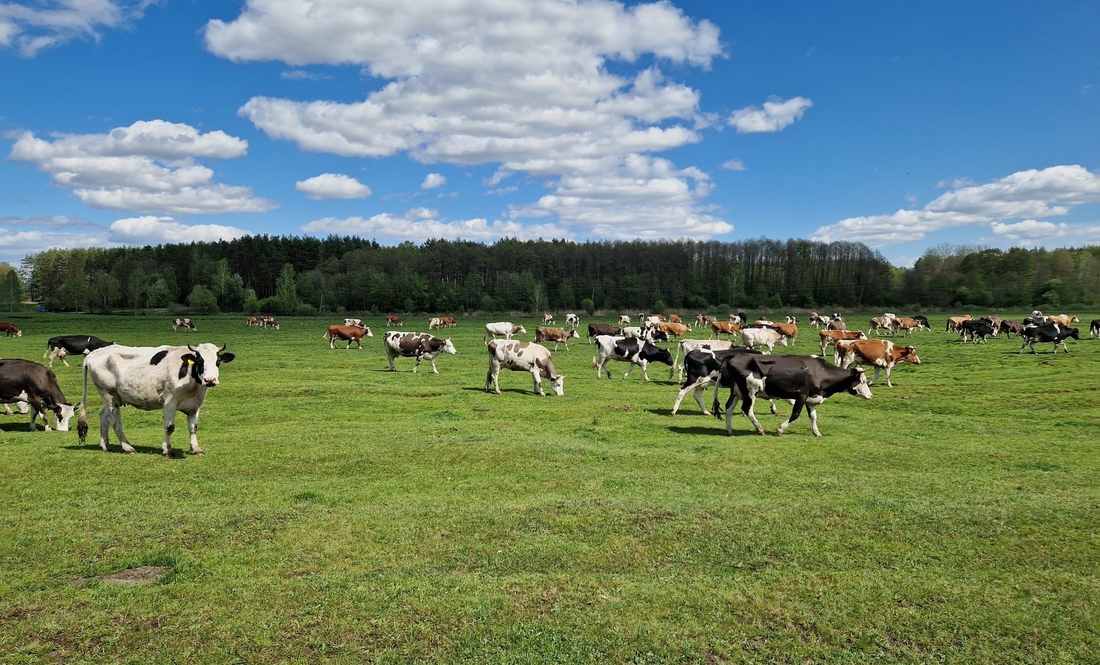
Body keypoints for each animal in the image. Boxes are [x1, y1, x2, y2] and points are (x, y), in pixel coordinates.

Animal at [76, 342, 235, 457]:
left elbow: (193, 428)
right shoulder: (169, 403)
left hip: (114, 397)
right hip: (108, 394)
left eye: (218, 361)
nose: (210, 380)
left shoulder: (195, 405)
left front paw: (196, 449)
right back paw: (127, 447)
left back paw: (104, 445)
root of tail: (92, 354)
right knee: (115, 421)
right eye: (200, 361)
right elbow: (169, 427)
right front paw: (167, 450)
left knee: (104, 416)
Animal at [712, 351, 875, 435]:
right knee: (747, 409)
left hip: (736, 391)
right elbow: (795, 414)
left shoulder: (811, 398)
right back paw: (760, 429)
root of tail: (735, 355)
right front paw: (780, 429)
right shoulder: (801, 395)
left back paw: (729, 430)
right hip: (750, 391)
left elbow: (813, 417)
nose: (871, 396)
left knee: (728, 408)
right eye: (862, 381)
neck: (820, 372)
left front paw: (817, 432)